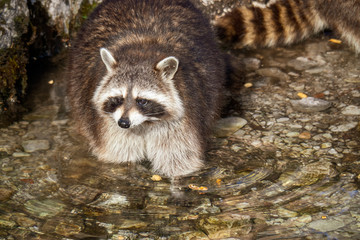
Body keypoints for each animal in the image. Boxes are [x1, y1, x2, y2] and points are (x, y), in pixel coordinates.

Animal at [67, 0, 225, 176]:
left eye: (141, 100)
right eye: (118, 98)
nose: (123, 123)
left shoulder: (185, 114)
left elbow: (178, 157)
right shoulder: (108, 124)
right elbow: (120, 154)